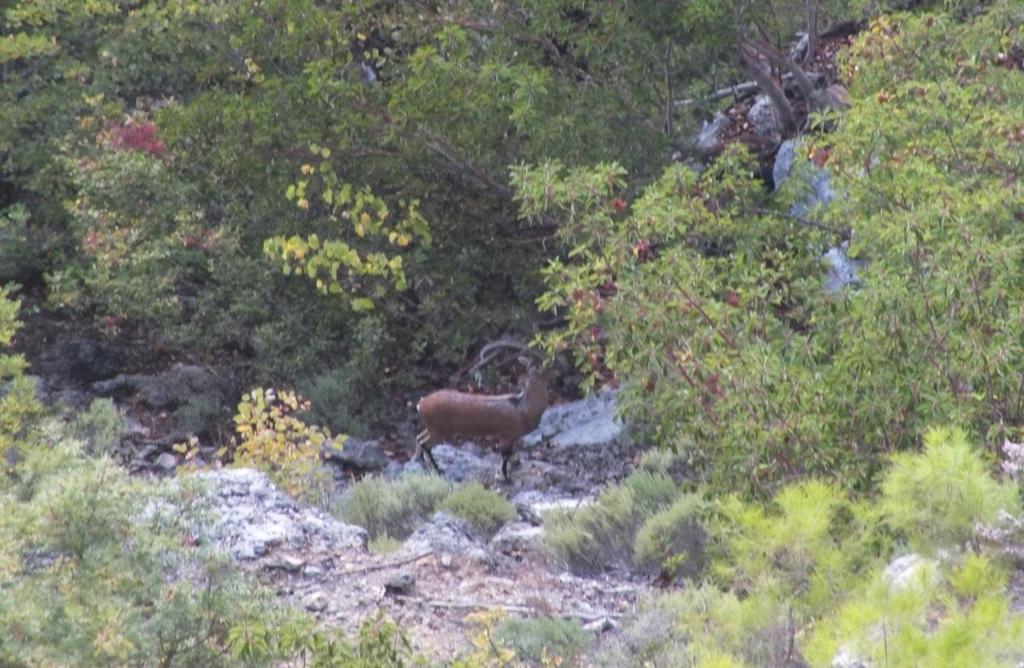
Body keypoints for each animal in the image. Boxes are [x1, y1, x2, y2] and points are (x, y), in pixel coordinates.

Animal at [413, 344, 552, 479]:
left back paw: (422, 462)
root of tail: (421, 403)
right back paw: (438, 470)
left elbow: (509, 455)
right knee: (426, 444)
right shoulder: (506, 435)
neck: (522, 408)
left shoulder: (511, 438)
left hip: (432, 428)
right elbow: (505, 456)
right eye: (547, 366)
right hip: (439, 431)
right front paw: (505, 477)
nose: (555, 373)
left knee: (420, 438)